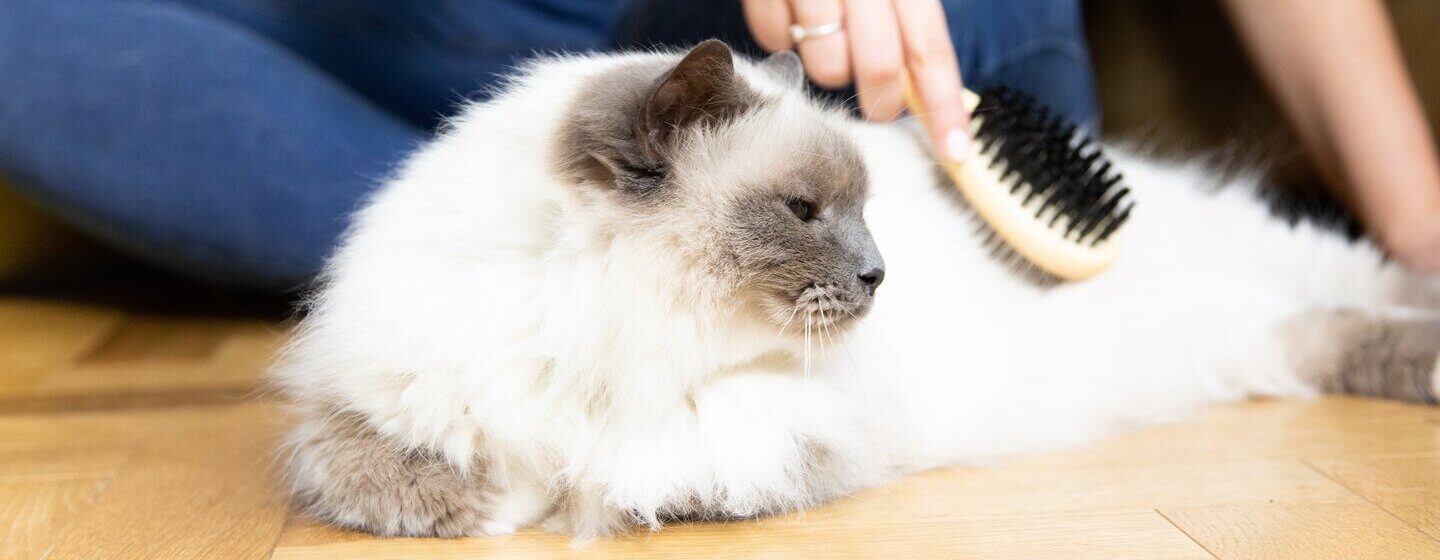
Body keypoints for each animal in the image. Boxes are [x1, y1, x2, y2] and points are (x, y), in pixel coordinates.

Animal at [272, 40, 1440, 535]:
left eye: (864, 210)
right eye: (805, 212)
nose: (881, 274)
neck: (606, 326)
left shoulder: (772, 424)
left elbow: (638, 464)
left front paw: (559, 492)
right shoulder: (368, 405)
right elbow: (391, 469)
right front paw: (494, 499)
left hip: (1291, 275)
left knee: (1385, 291)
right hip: (1262, 343)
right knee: (1332, 336)